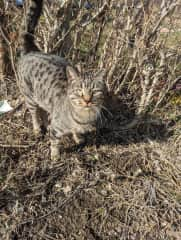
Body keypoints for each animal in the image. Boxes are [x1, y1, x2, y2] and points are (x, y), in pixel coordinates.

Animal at [17, 0, 107, 159]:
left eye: (95, 91)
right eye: (79, 91)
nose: (87, 100)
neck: (83, 117)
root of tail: (31, 51)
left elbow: (76, 132)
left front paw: (78, 138)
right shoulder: (56, 129)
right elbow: (54, 141)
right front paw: (55, 156)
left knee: (44, 111)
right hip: (29, 96)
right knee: (34, 113)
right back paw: (37, 129)